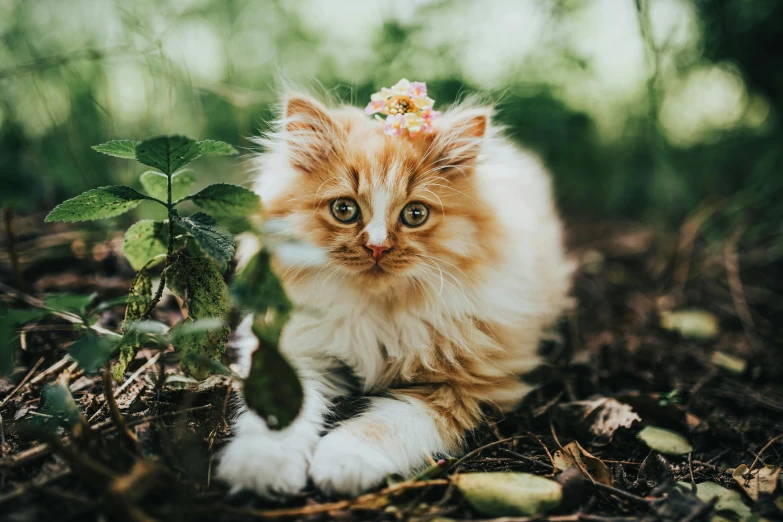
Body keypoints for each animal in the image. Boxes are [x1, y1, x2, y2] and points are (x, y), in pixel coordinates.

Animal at [217, 91, 572, 494]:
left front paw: (344, 463)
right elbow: (276, 414)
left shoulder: (457, 385)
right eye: (344, 209)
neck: (376, 310)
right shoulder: (293, 353)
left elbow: (380, 427)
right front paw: (261, 466)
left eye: (415, 214)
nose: (377, 247)